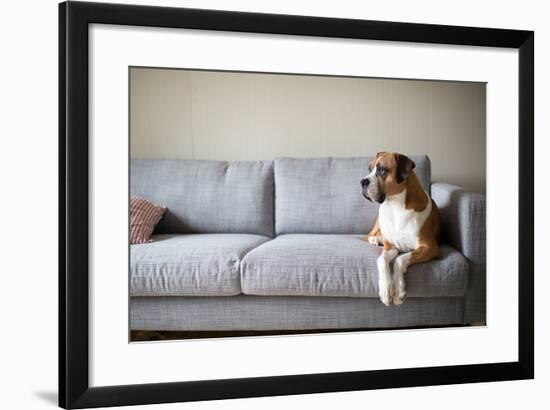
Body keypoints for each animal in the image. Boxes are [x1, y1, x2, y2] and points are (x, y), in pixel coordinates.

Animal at [362, 152, 444, 306]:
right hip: (379, 221)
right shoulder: (390, 247)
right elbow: (381, 260)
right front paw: (385, 288)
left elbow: (399, 260)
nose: (363, 182)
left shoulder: (429, 247)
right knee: (369, 234)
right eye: (370, 169)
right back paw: (375, 239)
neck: (394, 205)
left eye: (382, 170)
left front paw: (398, 288)